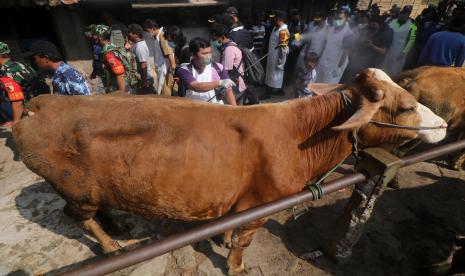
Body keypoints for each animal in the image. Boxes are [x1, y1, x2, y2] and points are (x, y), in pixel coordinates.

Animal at [12, 69, 444, 274]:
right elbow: (242, 243)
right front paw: (235, 266)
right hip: (76, 191)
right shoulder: (261, 207)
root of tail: (42, 102)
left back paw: (117, 227)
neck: (298, 135)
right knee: (79, 217)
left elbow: (227, 230)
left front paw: (219, 239)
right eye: (406, 107)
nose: (442, 124)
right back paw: (111, 245)